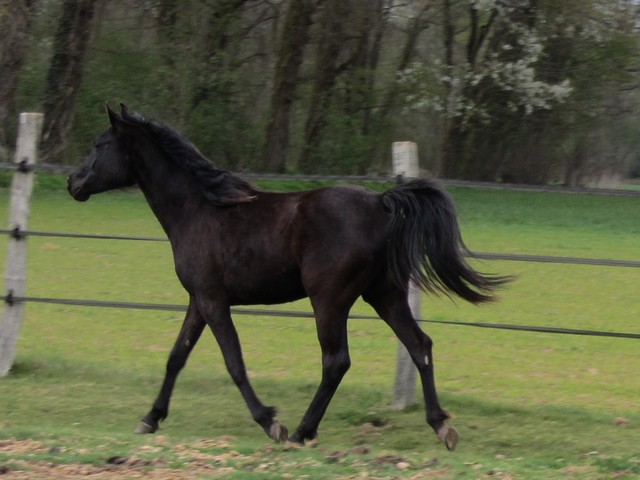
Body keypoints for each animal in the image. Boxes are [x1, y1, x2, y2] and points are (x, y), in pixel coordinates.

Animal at [68, 104, 507, 450]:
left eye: (98, 144)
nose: (74, 182)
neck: (199, 210)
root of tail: (382, 203)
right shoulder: (199, 300)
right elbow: (176, 357)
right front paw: (150, 418)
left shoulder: (214, 300)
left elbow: (234, 362)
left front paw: (271, 422)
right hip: (384, 294)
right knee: (420, 345)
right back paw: (441, 426)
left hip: (330, 300)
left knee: (336, 361)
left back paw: (301, 431)